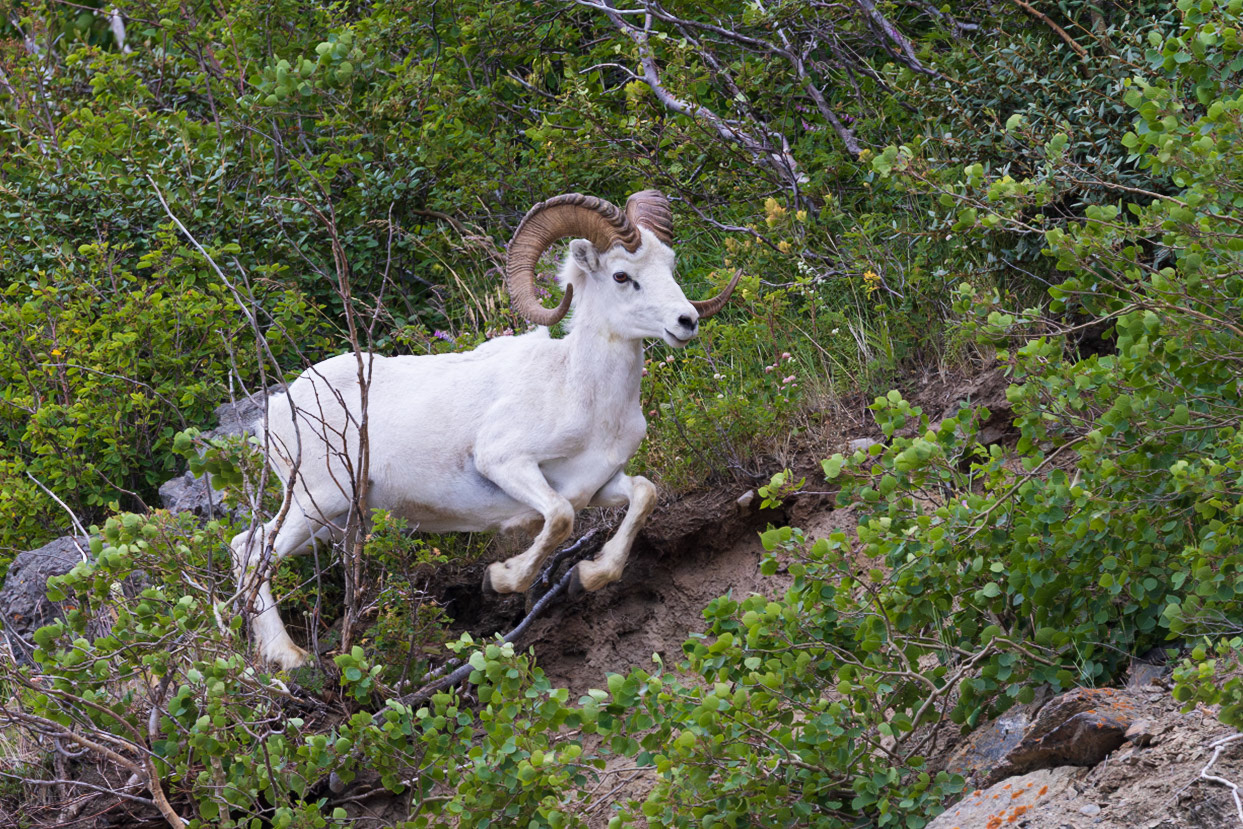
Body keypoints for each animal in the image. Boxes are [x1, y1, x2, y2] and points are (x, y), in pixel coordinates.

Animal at [230, 190, 740, 669]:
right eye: (621, 276)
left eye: (669, 265)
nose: (687, 321)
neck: (581, 394)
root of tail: (276, 412)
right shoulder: (505, 463)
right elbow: (559, 518)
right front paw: (498, 580)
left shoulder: (598, 484)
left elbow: (643, 494)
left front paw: (585, 578)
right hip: (319, 500)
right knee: (253, 554)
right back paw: (289, 658)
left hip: (334, 520)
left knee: (245, 546)